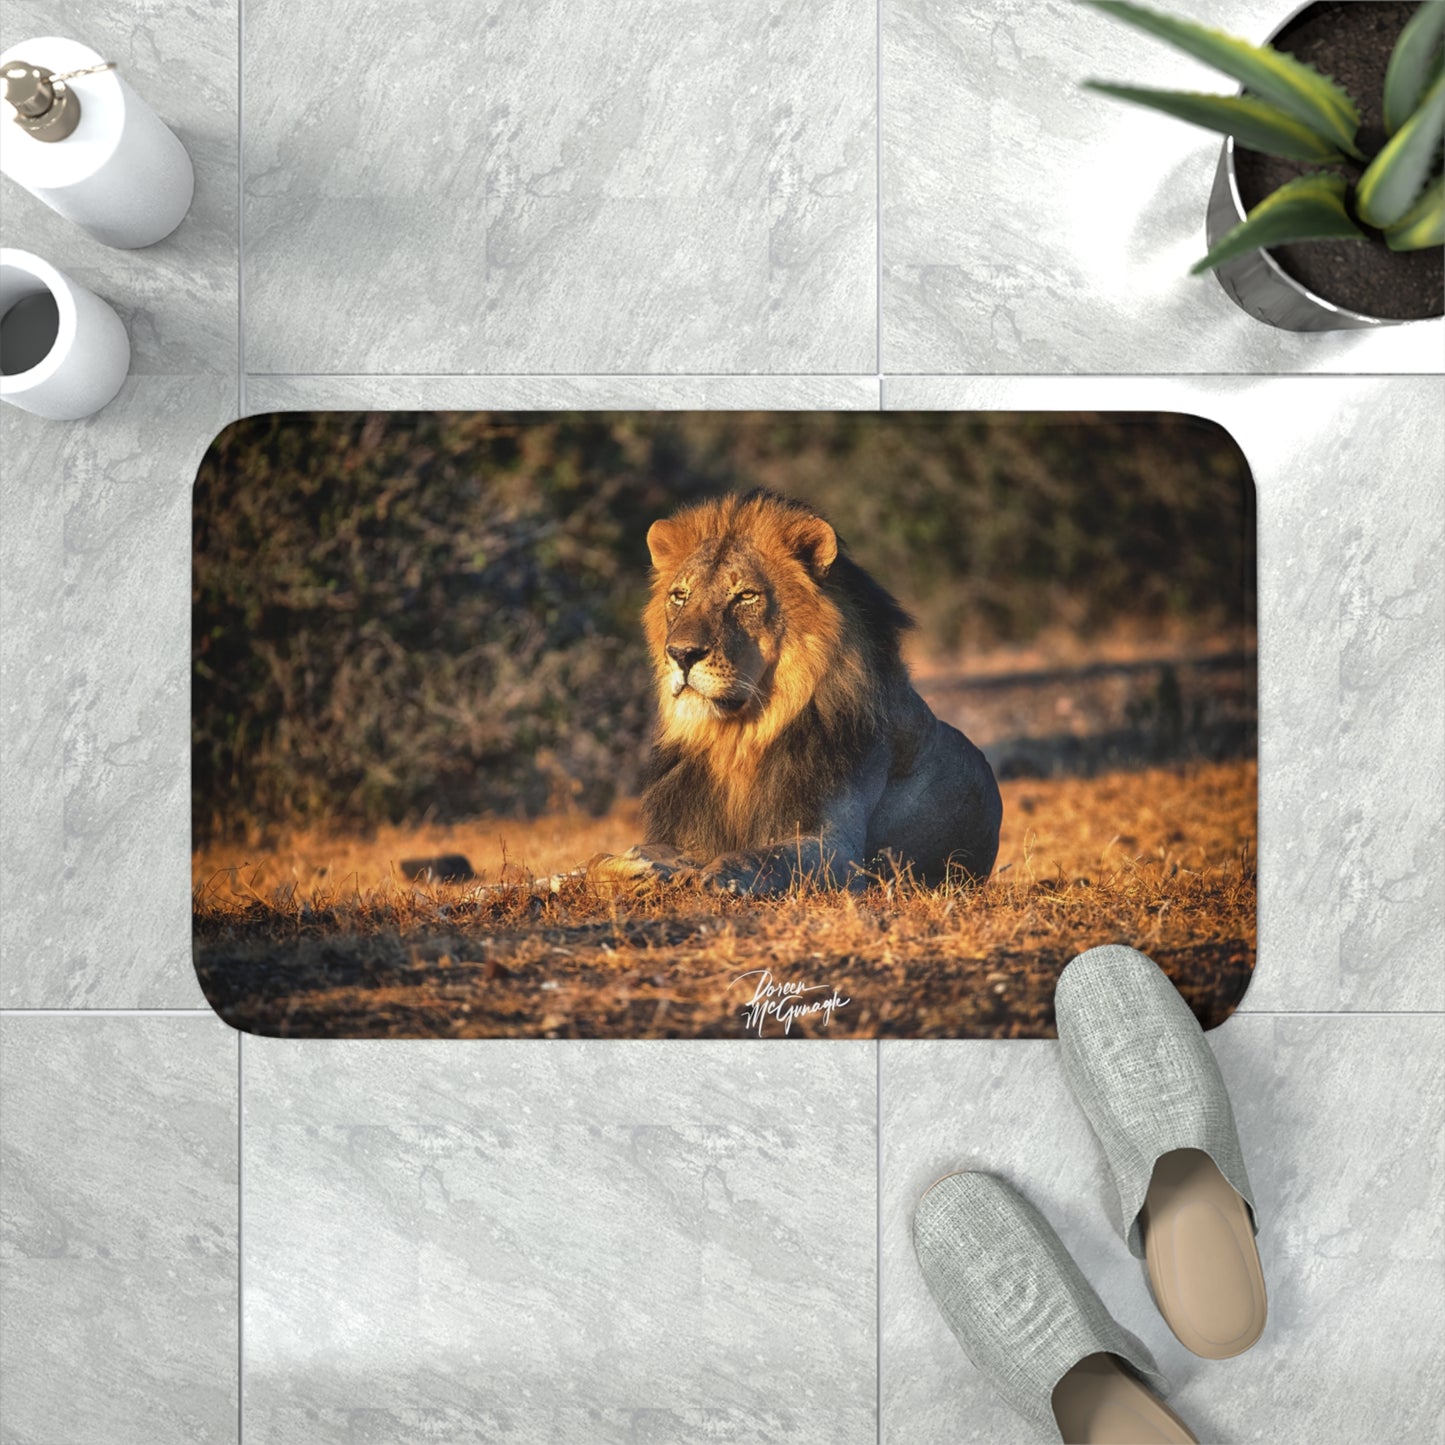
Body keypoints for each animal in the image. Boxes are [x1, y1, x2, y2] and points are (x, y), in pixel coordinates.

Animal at [588, 490, 1002, 896]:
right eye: (679, 595)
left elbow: (761, 856)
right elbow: (600, 859)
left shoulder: (838, 849)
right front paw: (629, 867)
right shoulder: (688, 835)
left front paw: (718, 876)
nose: (681, 654)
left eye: (746, 596)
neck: (738, 738)